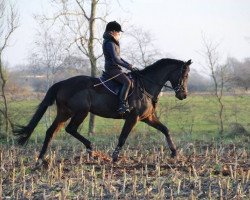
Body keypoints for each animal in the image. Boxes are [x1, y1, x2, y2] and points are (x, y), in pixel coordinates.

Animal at [13, 57, 191, 164]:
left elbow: (165, 130)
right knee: (70, 129)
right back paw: (91, 149)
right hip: (80, 112)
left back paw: (41, 159)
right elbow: (122, 137)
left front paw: (174, 153)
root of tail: (62, 83)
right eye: (184, 75)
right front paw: (114, 158)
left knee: (51, 131)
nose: (183, 95)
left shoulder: (148, 118)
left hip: (64, 113)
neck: (146, 86)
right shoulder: (132, 118)